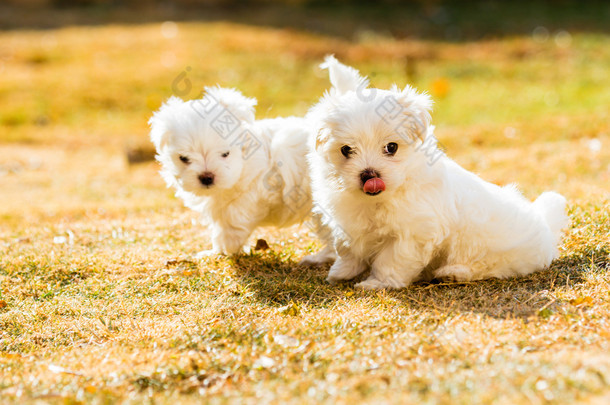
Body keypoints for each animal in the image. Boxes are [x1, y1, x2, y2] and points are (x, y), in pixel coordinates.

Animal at [151, 86, 332, 262]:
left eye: (225, 154)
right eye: (183, 158)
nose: (207, 177)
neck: (244, 161)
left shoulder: (254, 191)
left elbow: (231, 223)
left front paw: (225, 251)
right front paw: (216, 252)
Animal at [306, 56, 568, 288]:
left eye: (391, 147)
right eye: (346, 150)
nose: (369, 174)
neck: (379, 200)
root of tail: (544, 225)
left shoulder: (413, 232)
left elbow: (392, 259)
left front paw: (378, 283)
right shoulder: (348, 224)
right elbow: (348, 249)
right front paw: (342, 272)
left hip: (493, 252)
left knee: (488, 267)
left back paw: (453, 273)